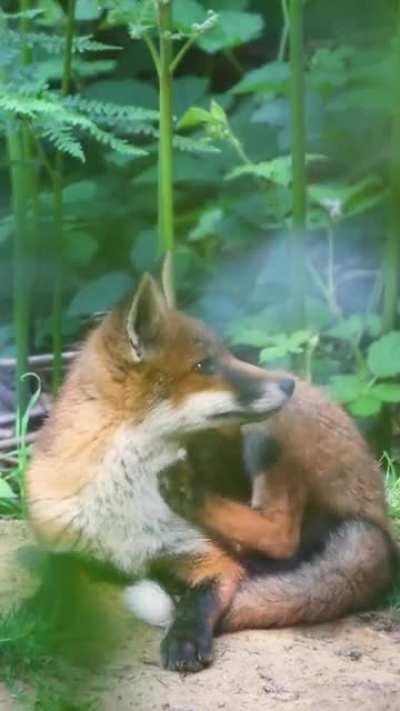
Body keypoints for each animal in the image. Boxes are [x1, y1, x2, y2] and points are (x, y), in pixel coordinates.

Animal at [26, 274, 396, 673]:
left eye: (228, 355)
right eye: (205, 366)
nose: (288, 384)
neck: (124, 500)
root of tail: (381, 522)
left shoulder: (205, 555)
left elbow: (198, 601)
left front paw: (185, 637)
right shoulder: (61, 540)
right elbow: (54, 575)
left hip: (266, 432)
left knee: (281, 534)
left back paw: (191, 496)